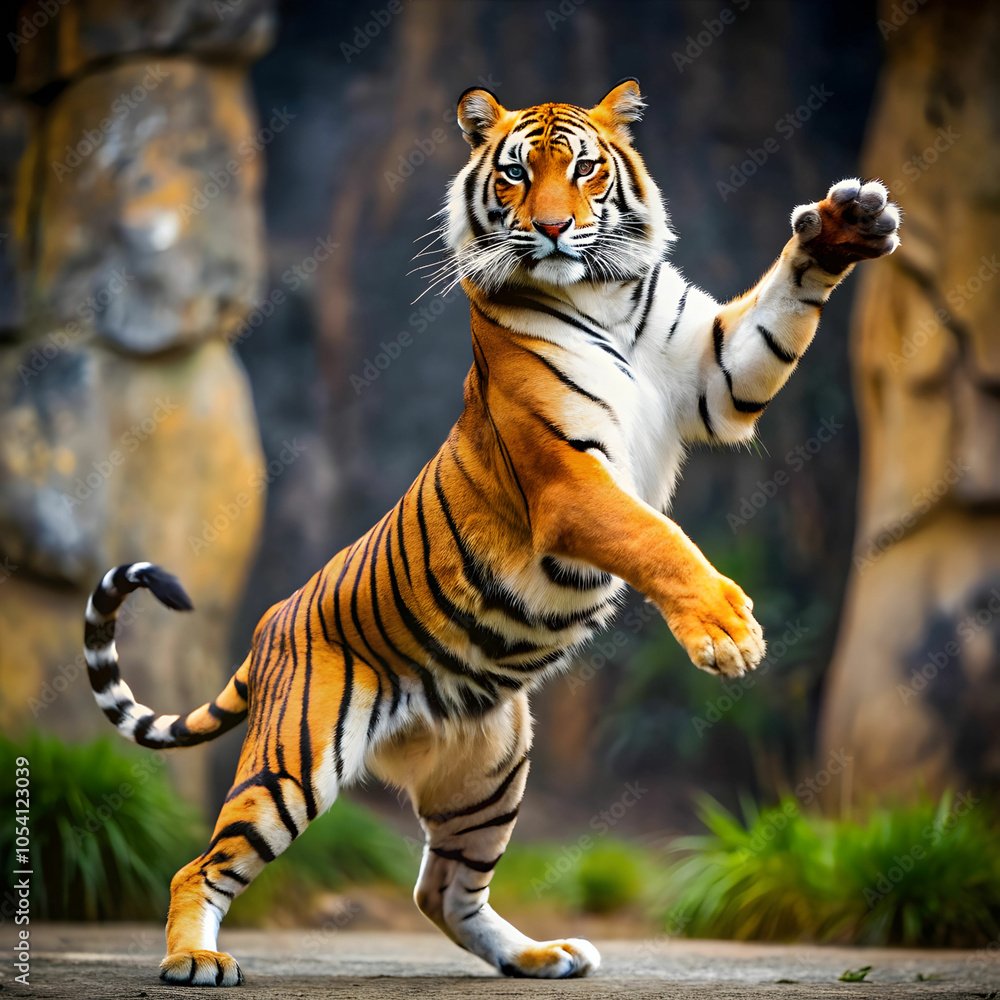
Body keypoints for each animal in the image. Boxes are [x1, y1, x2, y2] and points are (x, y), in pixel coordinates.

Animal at [82, 79, 900, 984]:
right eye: (514, 175)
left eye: (584, 170)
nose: (553, 228)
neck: (604, 294)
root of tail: (269, 626)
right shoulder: (570, 482)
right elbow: (657, 540)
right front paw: (727, 633)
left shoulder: (717, 377)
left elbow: (778, 314)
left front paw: (845, 225)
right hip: (294, 760)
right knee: (203, 865)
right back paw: (196, 958)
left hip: (492, 768)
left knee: (442, 890)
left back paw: (540, 956)